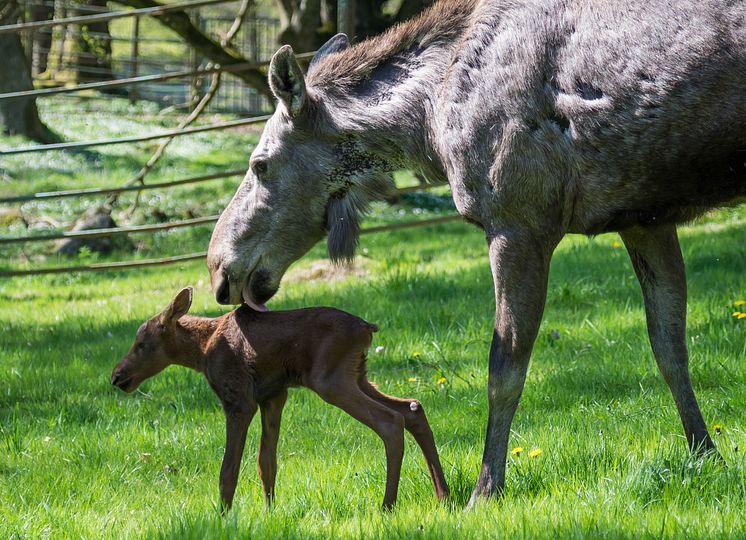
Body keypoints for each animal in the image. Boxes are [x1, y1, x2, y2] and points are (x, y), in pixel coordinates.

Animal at [110, 286, 448, 510]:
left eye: (142, 343)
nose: (117, 376)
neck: (201, 351)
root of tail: (368, 328)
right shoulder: (273, 395)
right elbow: (266, 461)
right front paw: (269, 510)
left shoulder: (239, 399)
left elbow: (228, 469)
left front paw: (223, 515)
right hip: (358, 375)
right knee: (412, 408)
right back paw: (442, 495)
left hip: (331, 380)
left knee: (390, 420)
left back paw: (387, 505)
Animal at [208, 1, 744, 506]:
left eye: (259, 163)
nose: (219, 267)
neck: (429, 120)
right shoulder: (643, 219)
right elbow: (669, 347)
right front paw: (706, 453)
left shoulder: (517, 222)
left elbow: (504, 368)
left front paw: (485, 489)